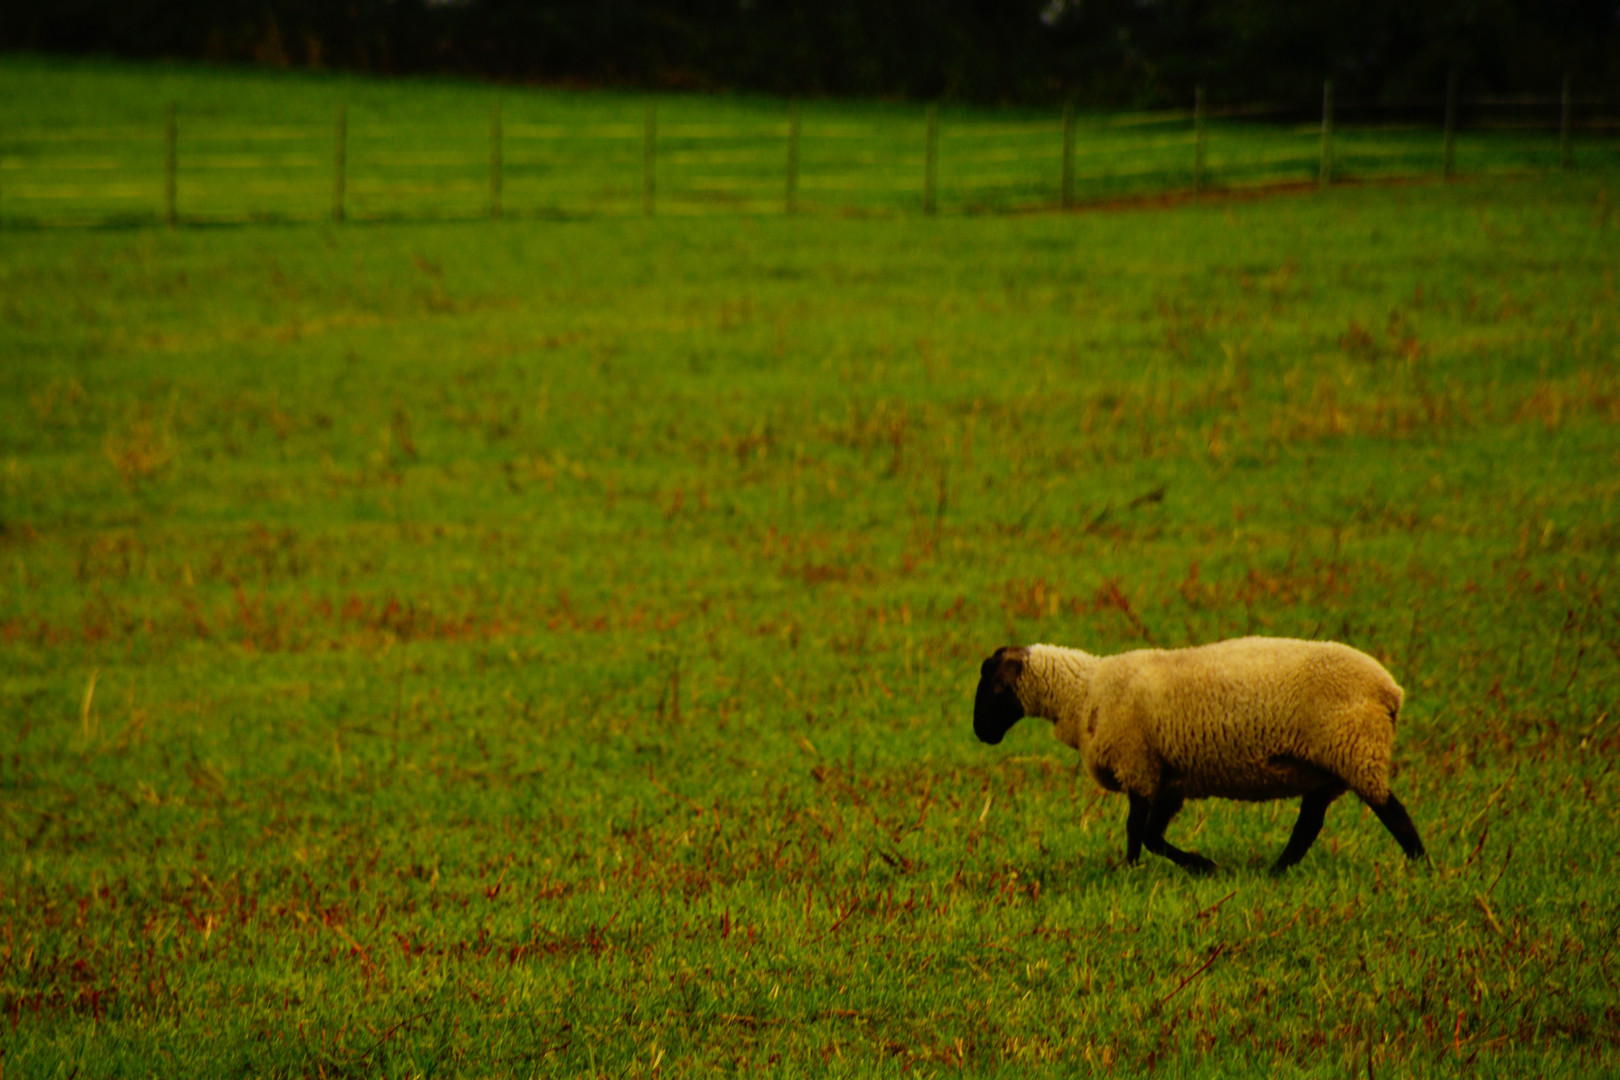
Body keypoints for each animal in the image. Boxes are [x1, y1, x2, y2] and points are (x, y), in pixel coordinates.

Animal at [973, 637, 1427, 875]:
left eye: (994, 689)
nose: (981, 734)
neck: (1084, 692)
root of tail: (1391, 692)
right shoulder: (1166, 779)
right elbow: (1153, 836)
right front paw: (1202, 866)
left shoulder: (1138, 765)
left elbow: (1135, 831)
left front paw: (1129, 871)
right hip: (1327, 769)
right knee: (1308, 826)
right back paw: (1276, 871)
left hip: (1355, 750)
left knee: (1395, 814)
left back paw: (1422, 867)